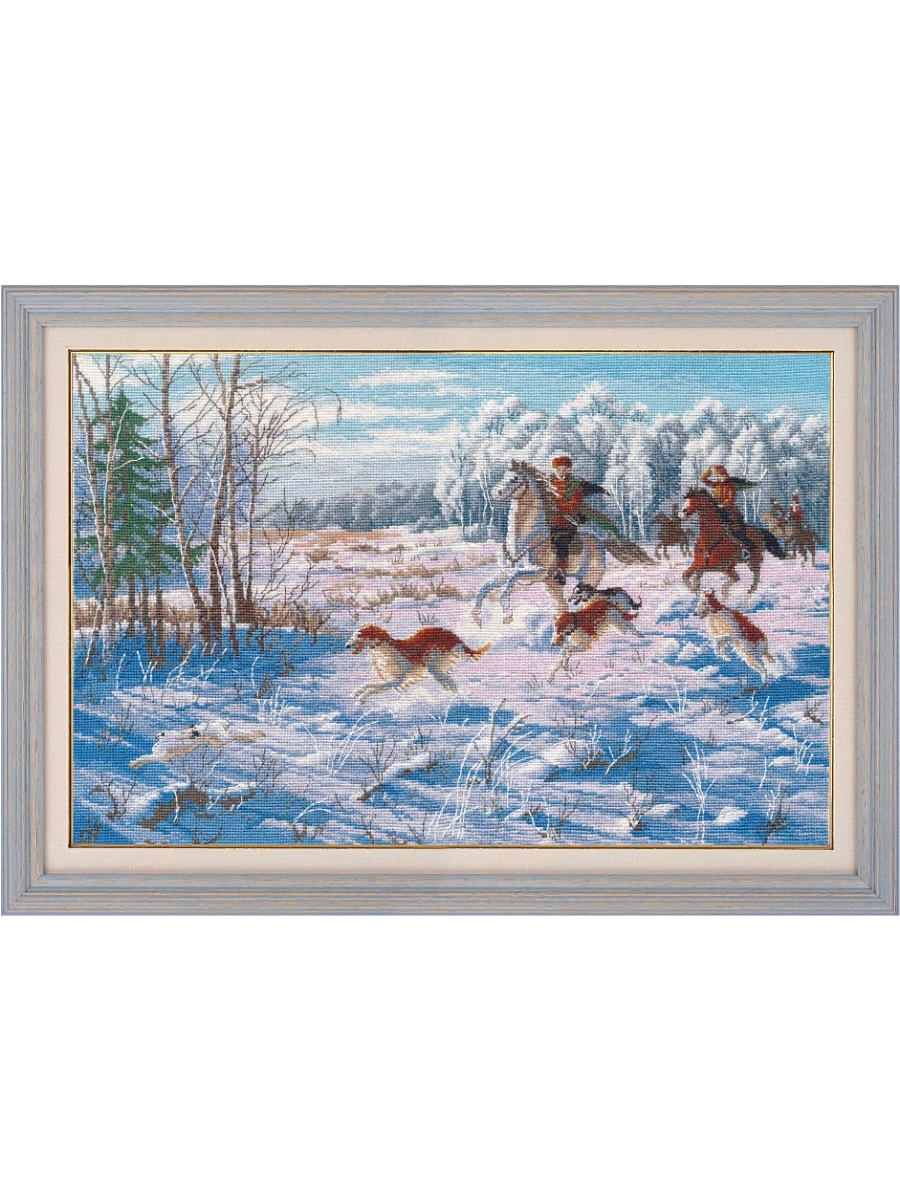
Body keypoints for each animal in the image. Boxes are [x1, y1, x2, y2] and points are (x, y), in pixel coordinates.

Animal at [129, 720, 264, 769]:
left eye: (162, 733)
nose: (156, 736)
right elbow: (145, 758)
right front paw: (134, 764)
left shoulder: (162, 754)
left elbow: (147, 757)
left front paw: (133, 764)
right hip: (216, 741)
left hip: (221, 738)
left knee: (234, 733)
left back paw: (257, 736)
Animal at [346, 624, 490, 704]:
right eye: (353, 635)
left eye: (358, 635)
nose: (346, 646)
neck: (386, 651)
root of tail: (452, 635)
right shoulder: (392, 680)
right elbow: (369, 685)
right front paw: (356, 693)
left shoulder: (398, 680)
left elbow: (372, 688)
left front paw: (361, 699)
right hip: (437, 669)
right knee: (450, 682)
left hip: (434, 667)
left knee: (451, 682)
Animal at [471, 461, 607, 624]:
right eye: (505, 475)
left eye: (515, 478)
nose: (496, 492)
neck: (521, 543)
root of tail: (599, 541)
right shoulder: (504, 572)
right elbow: (484, 587)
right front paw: (477, 615)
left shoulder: (539, 572)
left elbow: (514, 576)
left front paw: (507, 613)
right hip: (553, 584)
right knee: (562, 605)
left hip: (589, 577)